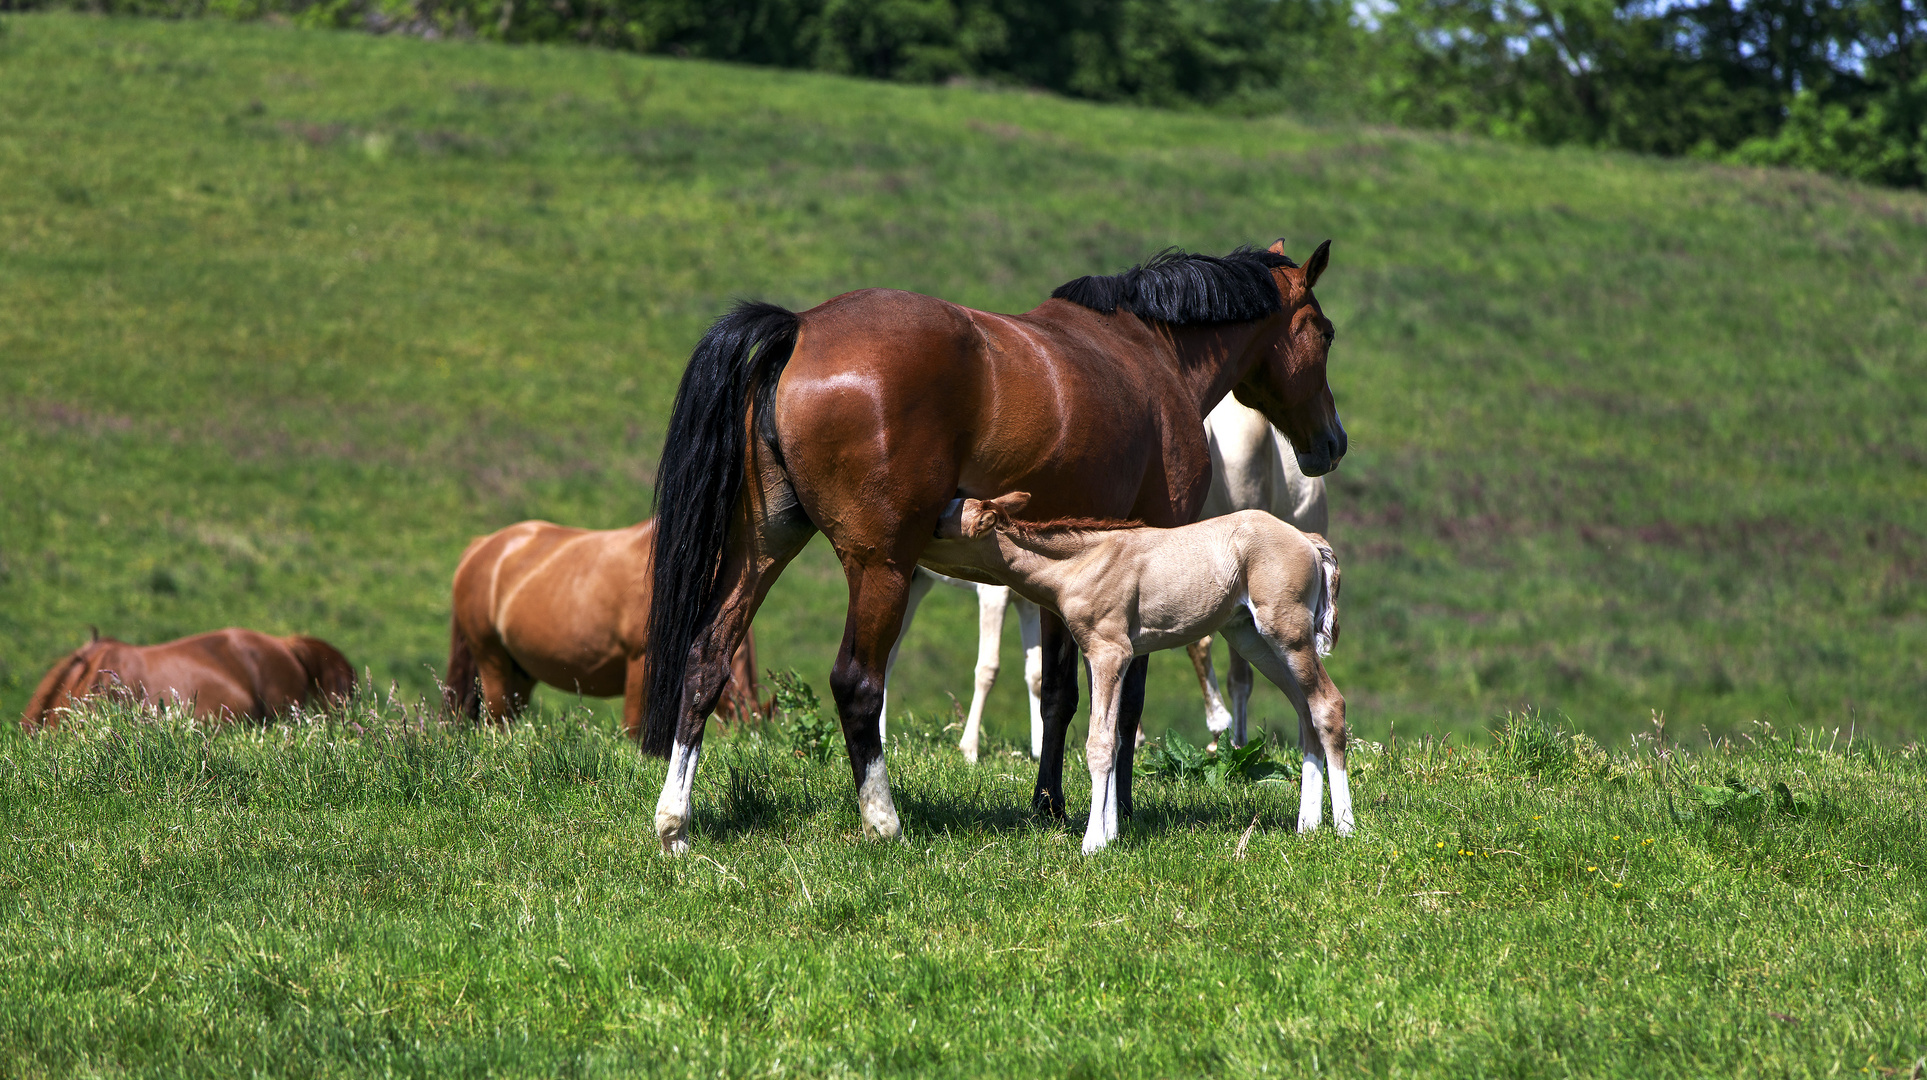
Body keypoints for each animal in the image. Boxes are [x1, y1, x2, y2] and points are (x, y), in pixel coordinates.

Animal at [443, 516, 766, 732]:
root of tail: (482, 547)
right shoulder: (640, 662)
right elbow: (633, 730)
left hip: (520, 673)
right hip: (491, 659)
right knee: (496, 719)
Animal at [924, 493, 1348, 856]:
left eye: (940, 526)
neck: (1079, 564)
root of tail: (1310, 541)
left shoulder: (1110, 651)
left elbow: (1099, 743)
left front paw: (1093, 842)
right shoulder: (1097, 655)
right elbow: (1113, 735)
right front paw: (1111, 831)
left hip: (1287, 632)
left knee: (1328, 705)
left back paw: (1344, 825)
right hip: (1252, 638)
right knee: (1305, 710)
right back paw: (1307, 825)